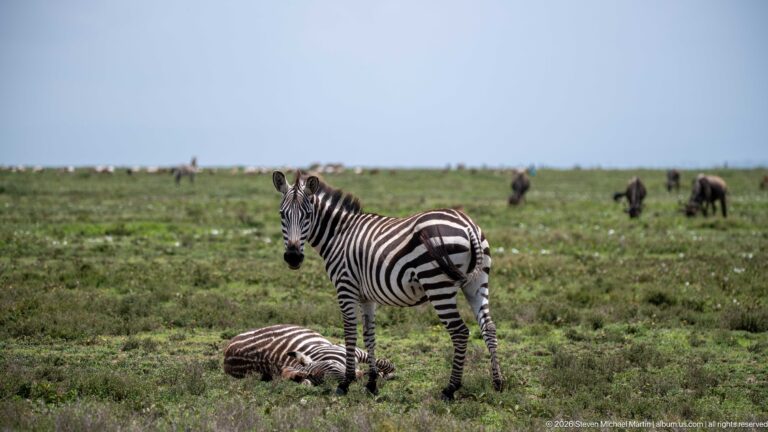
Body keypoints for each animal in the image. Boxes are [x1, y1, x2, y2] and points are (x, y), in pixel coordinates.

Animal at [223, 324, 395, 386]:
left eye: (331, 366)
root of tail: (227, 353)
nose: (354, 379)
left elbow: (383, 363)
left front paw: (385, 373)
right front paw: (382, 374)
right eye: (324, 380)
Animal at [272, 170, 503, 401]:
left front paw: (345, 383)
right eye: (282, 214)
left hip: (437, 284)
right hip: (477, 282)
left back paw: (450, 388)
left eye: (308, 214)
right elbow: (369, 335)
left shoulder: (346, 287)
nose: (293, 257)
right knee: (488, 327)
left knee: (460, 331)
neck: (339, 234)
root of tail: (468, 225)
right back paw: (498, 383)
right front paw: (372, 384)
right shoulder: (366, 296)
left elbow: (350, 333)